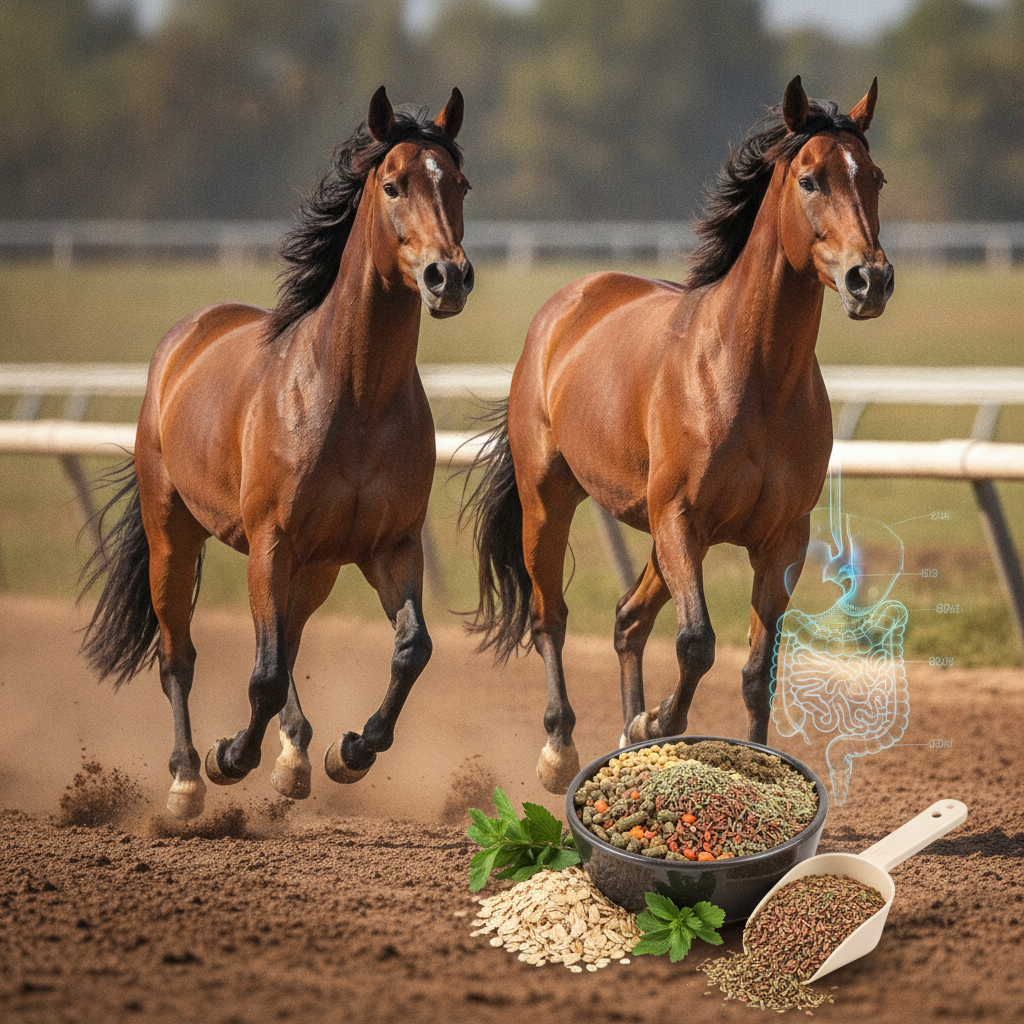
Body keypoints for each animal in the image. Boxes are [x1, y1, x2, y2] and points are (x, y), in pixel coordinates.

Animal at [79, 86, 473, 820]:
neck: (354, 396)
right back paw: (187, 780)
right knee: (179, 656)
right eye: (395, 183)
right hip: (173, 535)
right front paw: (229, 757)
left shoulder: (390, 546)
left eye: (459, 183)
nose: (448, 277)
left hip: (316, 567)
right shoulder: (271, 541)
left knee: (288, 641)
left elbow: (412, 649)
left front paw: (350, 751)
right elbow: (260, 674)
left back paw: (294, 756)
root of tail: (184, 342)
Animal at [462, 76, 893, 795]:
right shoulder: (681, 518)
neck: (754, 377)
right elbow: (697, 643)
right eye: (810, 178)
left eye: (876, 178)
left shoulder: (781, 542)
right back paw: (561, 752)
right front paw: (657, 723)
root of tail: (566, 306)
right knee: (553, 617)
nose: (871, 280)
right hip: (550, 502)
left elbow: (756, 671)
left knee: (627, 620)